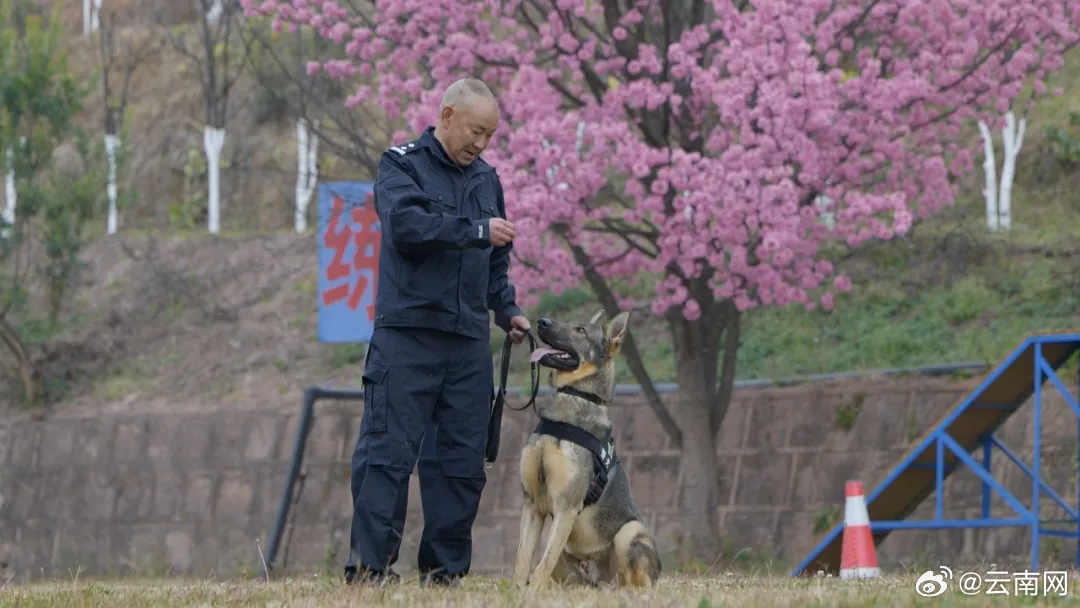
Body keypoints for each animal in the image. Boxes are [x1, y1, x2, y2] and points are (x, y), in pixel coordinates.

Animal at [511, 311, 660, 587]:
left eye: (580, 330)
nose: (541, 322)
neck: (573, 395)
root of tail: (600, 580)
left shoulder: (566, 508)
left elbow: (541, 566)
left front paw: (531, 592)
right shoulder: (532, 505)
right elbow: (523, 562)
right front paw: (516, 592)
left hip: (629, 532)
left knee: (634, 583)